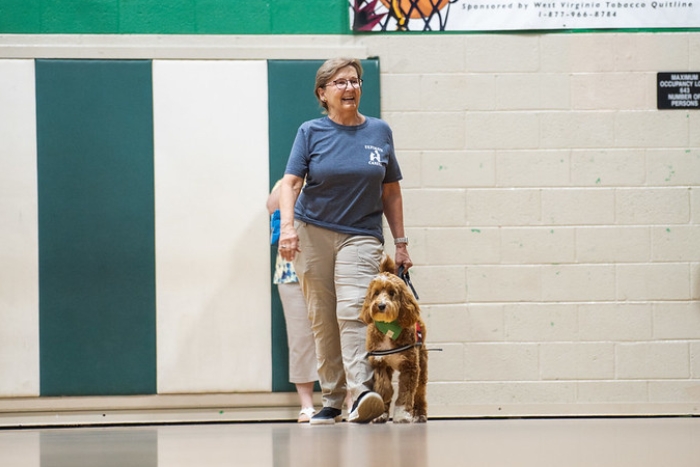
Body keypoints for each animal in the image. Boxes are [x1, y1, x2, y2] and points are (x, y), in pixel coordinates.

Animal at [360, 256, 426, 424]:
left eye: (391, 292)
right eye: (376, 293)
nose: (381, 305)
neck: (388, 328)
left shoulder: (410, 367)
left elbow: (406, 393)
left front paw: (402, 415)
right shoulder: (379, 363)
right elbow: (384, 387)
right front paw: (381, 410)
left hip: (422, 361)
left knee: (420, 391)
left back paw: (420, 414)